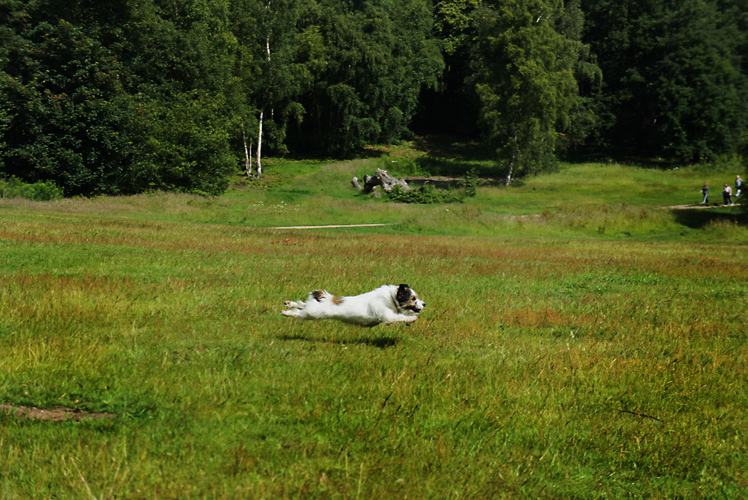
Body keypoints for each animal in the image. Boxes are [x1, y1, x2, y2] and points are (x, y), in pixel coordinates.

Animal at [280, 284, 424, 326]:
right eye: (413, 298)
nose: (424, 303)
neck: (390, 297)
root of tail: (322, 297)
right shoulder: (387, 315)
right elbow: (400, 317)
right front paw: (412, 318)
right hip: (311, 314)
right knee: (298, 313)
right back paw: (286, 312)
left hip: (311, 308)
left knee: (301, 304)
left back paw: (289, 303)